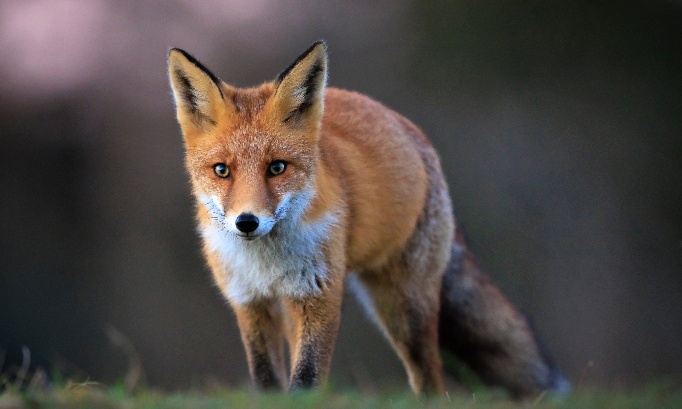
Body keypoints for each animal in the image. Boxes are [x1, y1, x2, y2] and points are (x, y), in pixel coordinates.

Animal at [167, 41, 569, 397]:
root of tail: (407, 127)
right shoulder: (250, 301)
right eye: (222, 171)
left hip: (404, 309)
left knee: (431, 380)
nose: (247, 222)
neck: (267, 263)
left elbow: (306, 380)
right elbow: (268, 381)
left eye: (277, 168)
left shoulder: (319, 294)